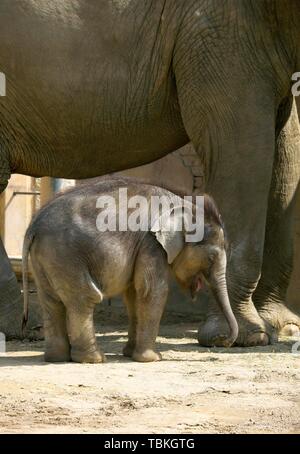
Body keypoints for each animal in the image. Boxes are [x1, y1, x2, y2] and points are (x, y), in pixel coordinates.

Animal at [0, 0, 300, 344]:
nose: (229, 337)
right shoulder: (220, 31)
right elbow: (241, 147)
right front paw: (238, 337)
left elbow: (286, 153)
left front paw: (282, 327)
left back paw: (25, 329)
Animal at [21, 176, 239, 364]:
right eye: (211, 258)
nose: (221, 341)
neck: (183, 203)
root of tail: (33, 226)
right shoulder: (151, 243)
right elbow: (153, 291)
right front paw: (153, 359)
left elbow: (134, 295)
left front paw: (129, 354)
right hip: (67, 255)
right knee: (84, 298)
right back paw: (94, 359)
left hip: (46, 258)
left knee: (51, 301)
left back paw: (57, 358)